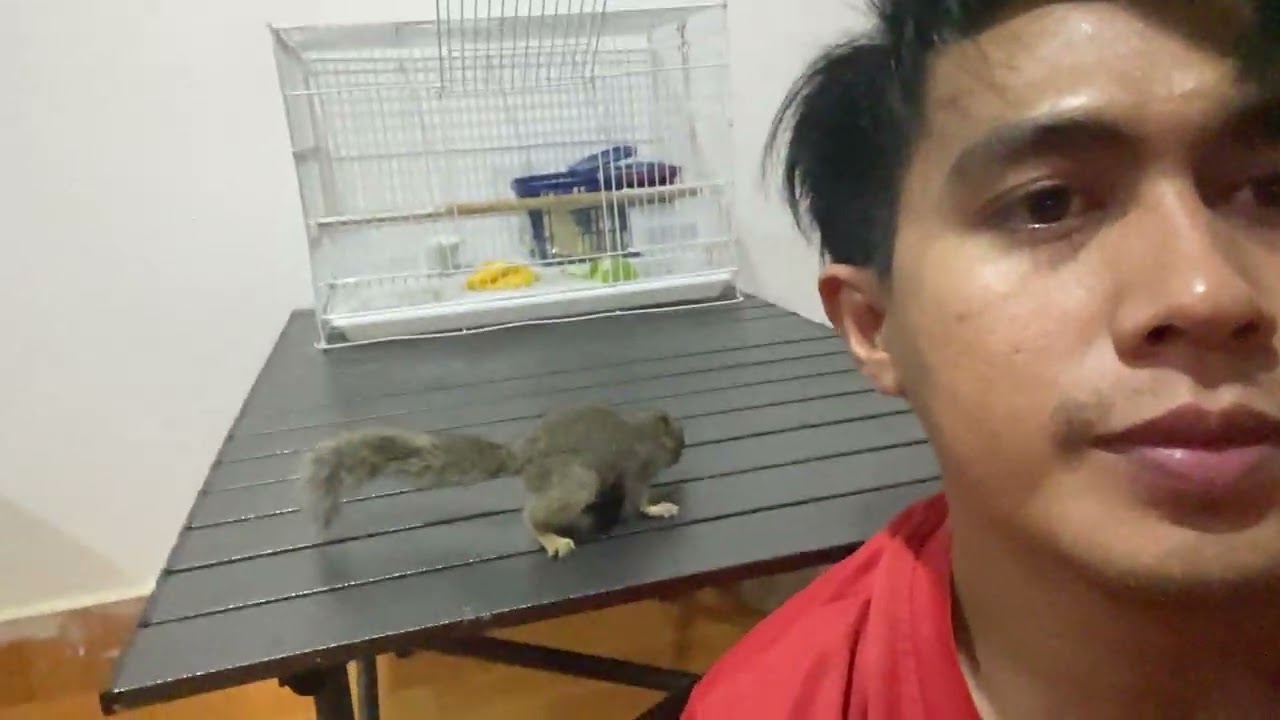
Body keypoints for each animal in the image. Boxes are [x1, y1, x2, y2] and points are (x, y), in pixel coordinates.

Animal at [299, 405, 686, 559]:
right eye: (678, 439)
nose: (683, 451)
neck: (643, 430)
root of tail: (522, 456)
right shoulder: (638, 467)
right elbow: (639, 499)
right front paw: (660, 507)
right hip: (577, 480)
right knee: (532, 516)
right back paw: (552, 538)